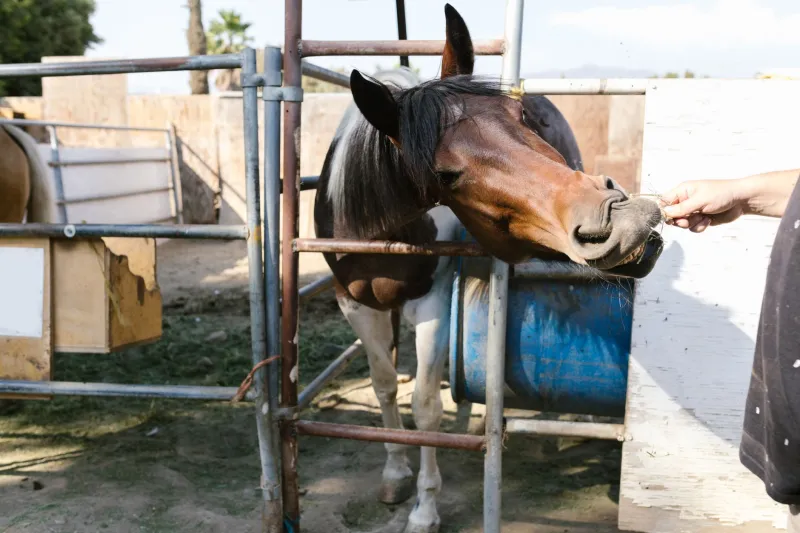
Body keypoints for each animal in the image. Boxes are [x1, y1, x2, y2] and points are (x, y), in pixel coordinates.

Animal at [313, 5, 663, 532]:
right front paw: (395, 472)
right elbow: (383, 386)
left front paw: (425, 507)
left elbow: (426, 407)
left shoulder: (434, 303)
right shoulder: (354, 303)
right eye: (443, 174)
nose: (620, 216)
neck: (376, 225)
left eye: (522, 119)